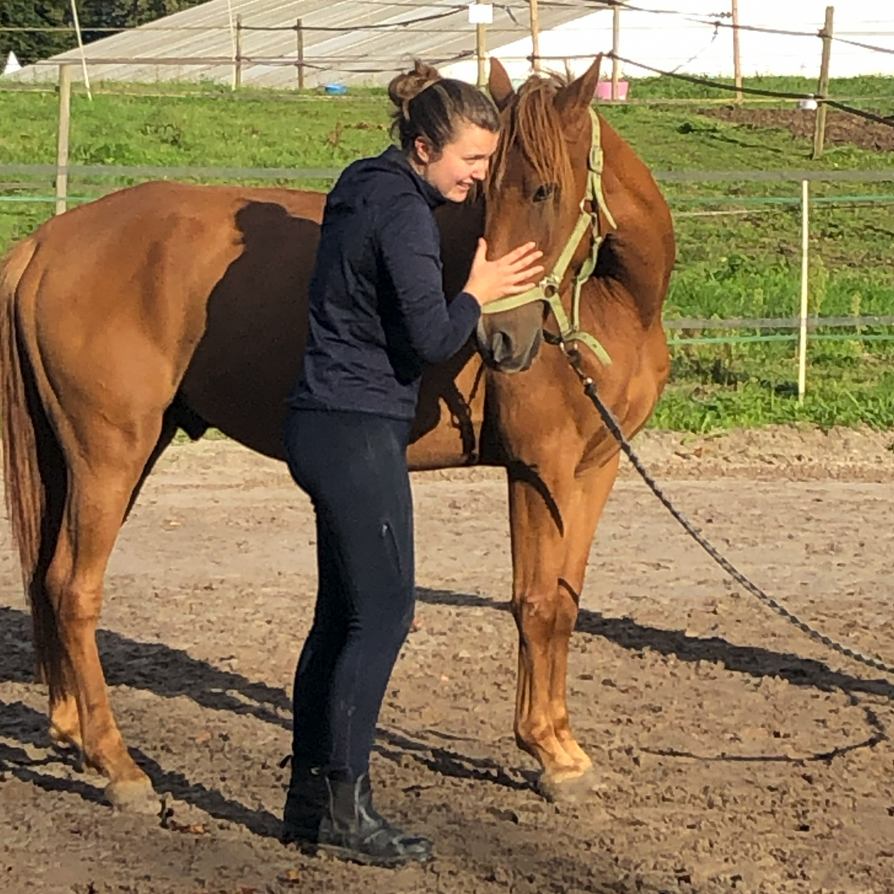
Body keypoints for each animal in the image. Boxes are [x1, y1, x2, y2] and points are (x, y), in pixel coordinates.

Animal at [0, 57, 674, 813]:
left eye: (542, 190)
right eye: (486, 189)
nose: (499, 340)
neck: (616, 303)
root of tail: (46, 244)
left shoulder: (595, 468)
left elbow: (565, 602)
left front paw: (561, 744)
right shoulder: (540, 469)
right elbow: (535, 604)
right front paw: (547, 752)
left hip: (82, 458)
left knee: (46, 578)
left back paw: (71, 732)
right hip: (109, 455)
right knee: (72, 589)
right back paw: (119, 767)